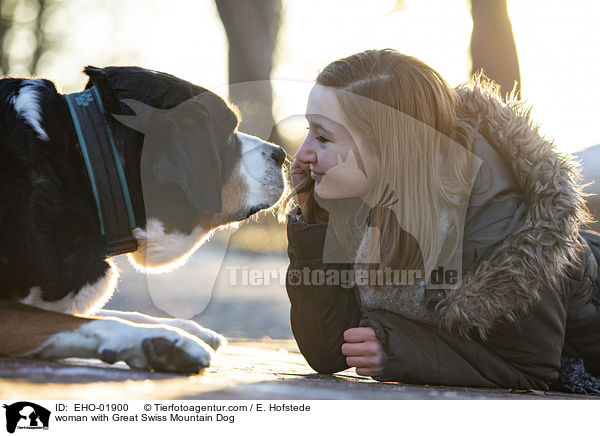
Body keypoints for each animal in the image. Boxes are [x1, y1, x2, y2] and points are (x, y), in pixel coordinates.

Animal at [0, 66, 288, 372]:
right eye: (228, 134)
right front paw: (168, 341)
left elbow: (121, 313)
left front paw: (185, 328)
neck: (84, 168)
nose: (282, 154)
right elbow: (97, 322)